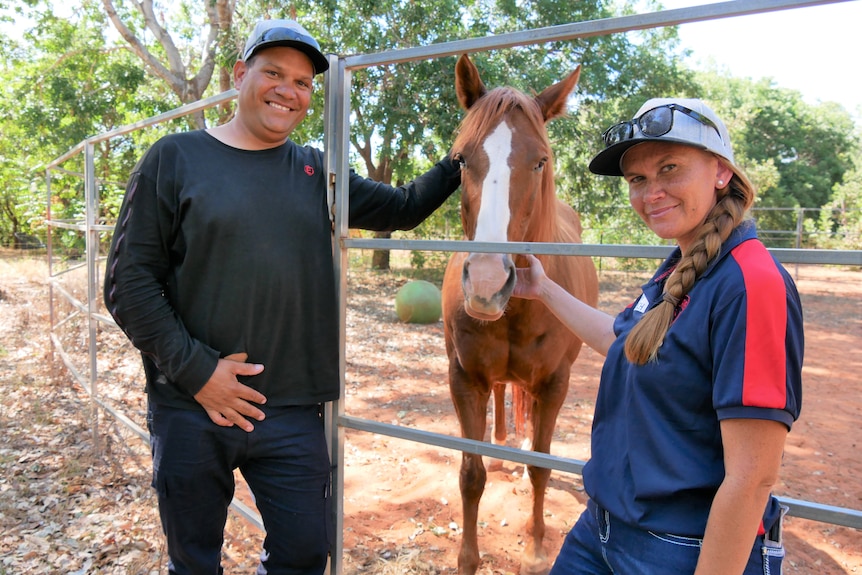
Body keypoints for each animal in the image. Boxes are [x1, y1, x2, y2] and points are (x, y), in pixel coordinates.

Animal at [442, 55, 596, 575]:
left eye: (540, 160)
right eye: (460, 159)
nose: (489, 283)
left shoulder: (555, 384)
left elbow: (541, 467)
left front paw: (534, 548)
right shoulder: (464, 379)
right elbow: (470, 474)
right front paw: (467, 559)